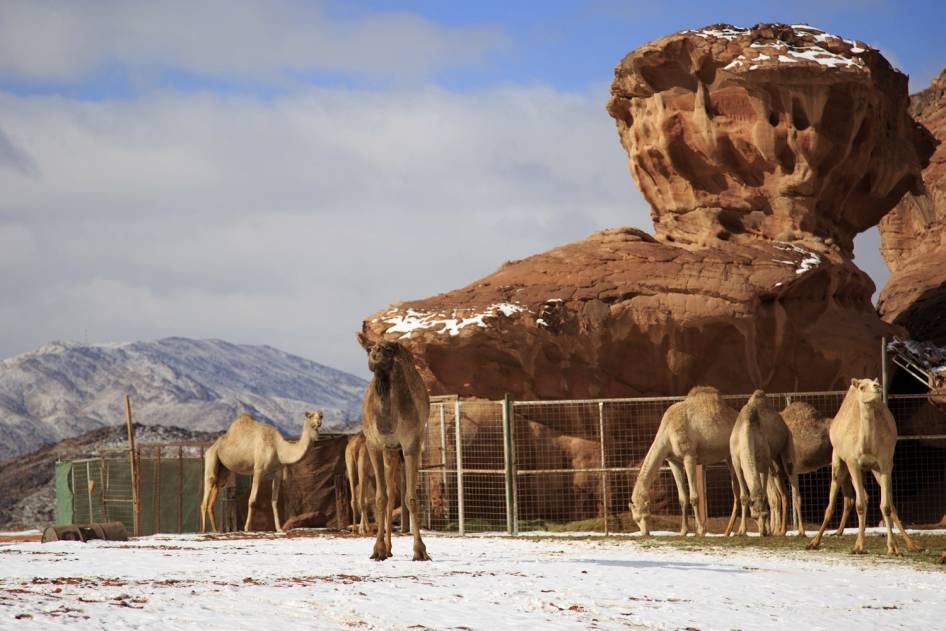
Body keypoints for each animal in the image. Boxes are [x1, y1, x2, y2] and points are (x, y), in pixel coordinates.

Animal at [354, 330, 428, 564]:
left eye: (388, 349)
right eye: (369, 349)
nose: (375, 353)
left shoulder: (411, 443)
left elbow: (411, 497)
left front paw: (420, 551)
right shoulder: (374, 444)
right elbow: (380, 498)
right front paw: (377, 550)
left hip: (400, 450)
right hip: (389, 451)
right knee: (386, 494)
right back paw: (387, 548)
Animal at [632, 386, 740, 540]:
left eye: (647, 516)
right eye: (635, 519)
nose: (645, 533)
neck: (667, 431)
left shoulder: (689, 456)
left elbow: (694, 496)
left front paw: (700, 531)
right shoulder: (673, 461)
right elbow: (682, 498)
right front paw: (683, 531)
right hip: (729, 457)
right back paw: (728, 532)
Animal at [732, 390, 796, 540]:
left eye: (765, 515)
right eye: (754, 517)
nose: (763, 533)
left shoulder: (763, 462)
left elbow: (766, 495)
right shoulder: (736, 463)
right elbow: (744, 497)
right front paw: (741, 531)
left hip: (786, 445)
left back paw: (785, 530)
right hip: (774, 462)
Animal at [804, 378, 916, 556]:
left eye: (874, 382)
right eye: (863, 387)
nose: (877, 386)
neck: (868, 445)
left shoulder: (885, 464)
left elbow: (886, 506)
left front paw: (893, 547)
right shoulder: (853, 463)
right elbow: (860, 504)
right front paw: (859, 546)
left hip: (875, 471)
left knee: (883, 501)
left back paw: (911, 545)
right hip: (838, 462)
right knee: (833, 502)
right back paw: (814, 542)